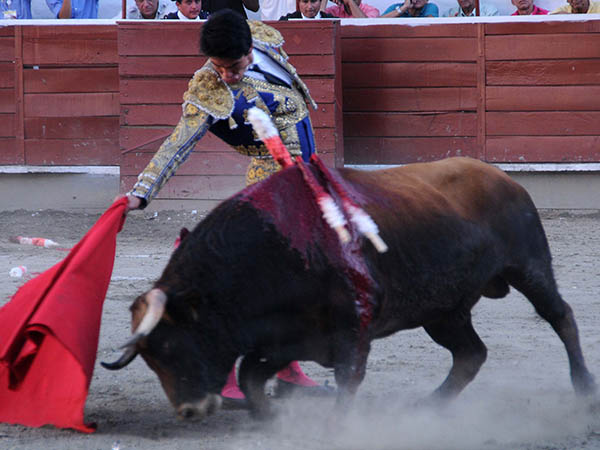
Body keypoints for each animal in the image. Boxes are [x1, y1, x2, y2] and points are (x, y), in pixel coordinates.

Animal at [102, 156, 596, 422]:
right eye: (149, 358)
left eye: (175, 345)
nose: (189, 410)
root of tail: (503, 177)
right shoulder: (289, 336)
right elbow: (250, 376)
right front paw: (274, 417)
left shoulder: (351, 328)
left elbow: (346, 380)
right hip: (443, 310)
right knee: (471, 353)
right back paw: (430, 405)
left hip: (530, 268)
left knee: (561, 317)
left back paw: (585, 388)